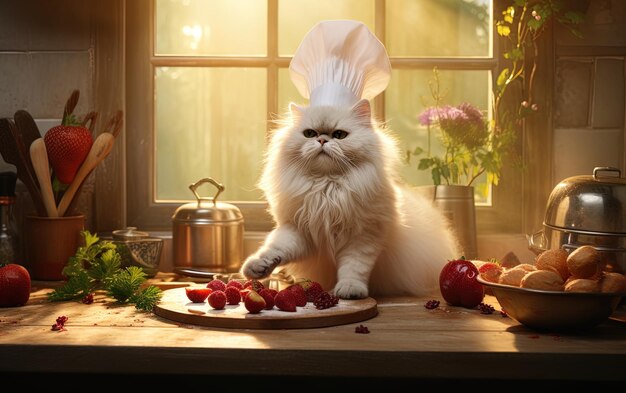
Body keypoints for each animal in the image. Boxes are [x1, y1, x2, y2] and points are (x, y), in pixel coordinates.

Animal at [240, 98, 458, 298]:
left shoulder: (364, 235)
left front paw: (350, 290)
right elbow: (276, 248)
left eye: (339, 135)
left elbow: (353, 267)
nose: (322, 140)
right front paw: (258, 267)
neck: (327, 188)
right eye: (310, 133)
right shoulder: (299, 230)